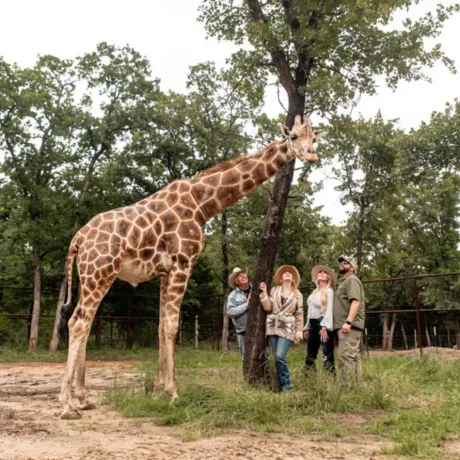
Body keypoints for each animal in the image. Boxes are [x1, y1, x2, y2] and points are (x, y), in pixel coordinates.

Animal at [57, 114, 322, 416]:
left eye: (313, 137)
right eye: (294, 136)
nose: (311, 155)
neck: (202, 203)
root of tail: (78, 239)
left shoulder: (164, 272)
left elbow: (162, 326)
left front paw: (157, 392)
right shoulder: (183, 264)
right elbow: (172, 327)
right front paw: (172, 393)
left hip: (90, 276)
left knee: (84, 322)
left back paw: (83, 398)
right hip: (100, 273)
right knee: (78, 323)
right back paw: (67, 405)